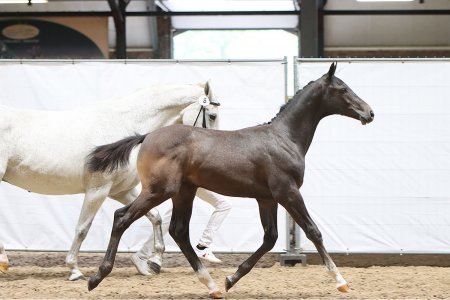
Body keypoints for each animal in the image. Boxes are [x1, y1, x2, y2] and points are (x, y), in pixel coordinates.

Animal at [0, 81, 220, 280]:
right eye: (212, 115)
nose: (211, 151)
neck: (124, 123)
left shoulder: (120, 191)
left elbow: (154, 216)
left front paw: (153, 263)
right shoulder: (98, 189)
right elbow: (82, 228)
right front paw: (74, 270)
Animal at [87, 63, 372, 298]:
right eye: (343, 89)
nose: (369, 113)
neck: (284, 138)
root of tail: (146, 136)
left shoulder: (266, 198)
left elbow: (270, 238)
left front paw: (231, 279)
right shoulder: (288, 192)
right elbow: (313, 231)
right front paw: (341, 281)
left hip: (183, 192)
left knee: (178, 231)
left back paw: (211, 285)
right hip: (159, 190)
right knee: (122, 218)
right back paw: (96, 277)